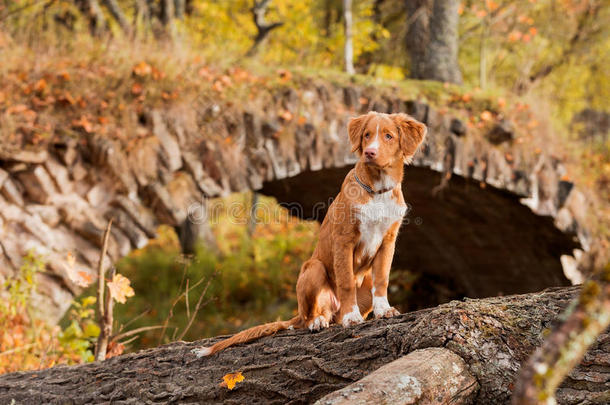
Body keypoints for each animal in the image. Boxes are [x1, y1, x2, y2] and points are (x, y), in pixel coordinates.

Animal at [194, 112, 422, 356]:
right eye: (367, 135)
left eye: (388, 136)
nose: (370, 152)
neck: (377, 191)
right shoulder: (344, 241)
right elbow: (346, 282)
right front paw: (352, 317)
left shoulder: (388, 242)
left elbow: (382, 279)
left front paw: (384, 310)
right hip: (313, 268)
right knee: (310, 316)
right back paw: (319, 321)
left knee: (335, 314)